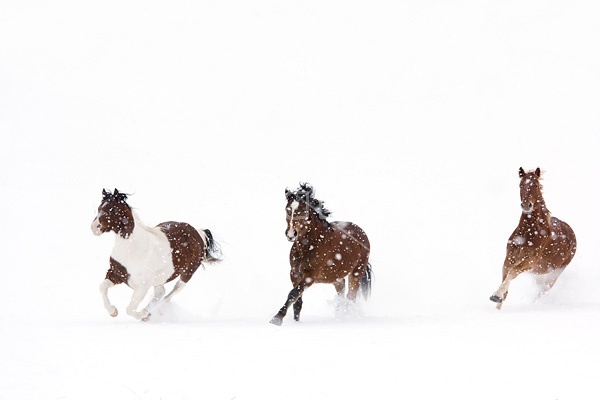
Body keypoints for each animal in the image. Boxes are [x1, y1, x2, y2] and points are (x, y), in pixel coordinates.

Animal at [89, 189, 220, 320]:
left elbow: (129, 309)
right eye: (99, 208)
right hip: (161, 279)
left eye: (113, 209)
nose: (94, 227)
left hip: (187, 274)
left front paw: (141, 314)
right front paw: (113, 311)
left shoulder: (142, 287)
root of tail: (199, 233)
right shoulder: (115, 274)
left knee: (169, 295)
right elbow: (102, 288)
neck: (131, 249)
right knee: (160, 292)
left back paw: (148, 313)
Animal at [270, 184, 372, 324]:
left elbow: (293, 294)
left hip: (357, 272)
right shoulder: (294, 273)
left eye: (303, 211)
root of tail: (362, 233)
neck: (309, 245)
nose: (291, 234)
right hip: (337, 278)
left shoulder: (310, 275)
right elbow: (297, 301)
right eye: (287, 209)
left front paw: (277, 318)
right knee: (342, 295)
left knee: (350, 297)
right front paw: (296, 322)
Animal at [492, 168, 576, 310]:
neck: (528, 232)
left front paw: (496, 295)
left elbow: (512, 273)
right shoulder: (509, 258)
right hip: (539, 274)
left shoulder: (530, 261)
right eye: (521, 185)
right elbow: (506, 281)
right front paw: (497, 303)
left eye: (536, 185)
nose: (527, 205)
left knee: (544, 291)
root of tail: (572, 233)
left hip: (554, 273)